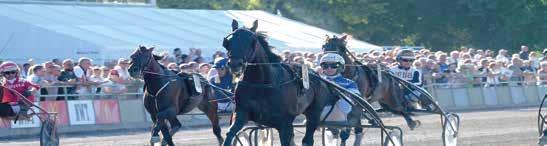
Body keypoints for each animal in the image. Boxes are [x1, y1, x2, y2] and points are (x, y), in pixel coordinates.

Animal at [223, 19, 372, 146]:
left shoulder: (284, 123)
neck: (262, 83)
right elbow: (230, 133)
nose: (234, 64)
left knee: (309, 139)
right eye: (228, 41)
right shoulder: (241, 112)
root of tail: (318, 76)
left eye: (251, 41)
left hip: (314, 113)